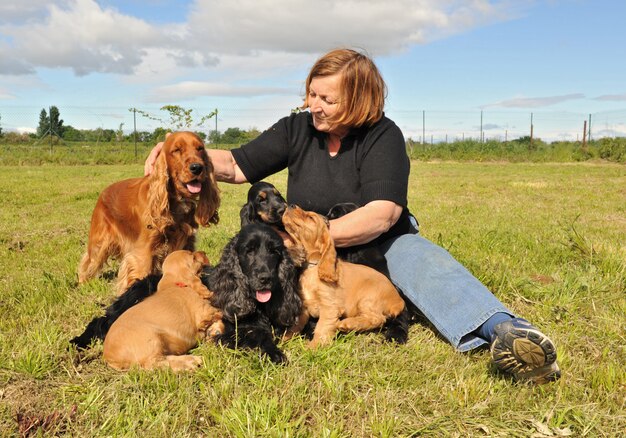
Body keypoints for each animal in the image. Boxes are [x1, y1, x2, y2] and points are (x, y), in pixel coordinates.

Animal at [77, 130, 219, 294]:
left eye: (200, 148)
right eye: (176, 150)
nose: (197, 167)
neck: (176, 201)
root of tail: (104, 192)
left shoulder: (186, 241)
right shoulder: (144, 251)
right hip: (100, 241)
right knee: (88, 261)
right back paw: (82, 282)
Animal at [282, 204, 404, 348]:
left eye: (311, 217)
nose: (290, 205)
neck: (312, 267)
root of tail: (399, 300)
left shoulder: (330, 306)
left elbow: (322, 327)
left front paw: (313, 346)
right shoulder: (304, 305)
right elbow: (297, 323)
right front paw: (285, 337)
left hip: (368, 297)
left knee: (377, 319)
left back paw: (347, 324)